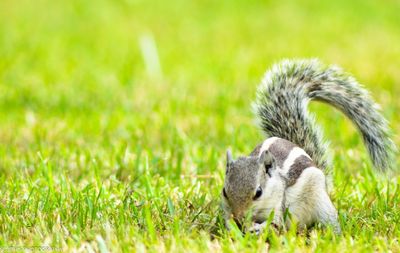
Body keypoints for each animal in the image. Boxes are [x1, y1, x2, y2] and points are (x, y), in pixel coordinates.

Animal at [222, 58, 396, 235]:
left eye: (258, 192)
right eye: (224, 192)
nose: (238, 217)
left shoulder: (279, 204)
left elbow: (275, 224)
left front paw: (257, 229)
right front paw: (231, 227)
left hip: (320, 200)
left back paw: (335, 234)